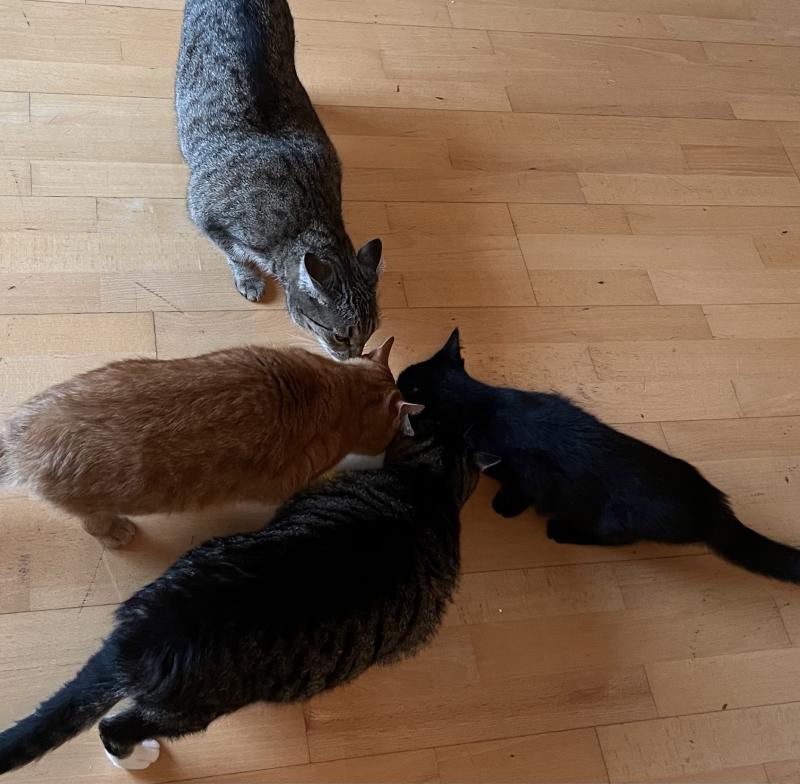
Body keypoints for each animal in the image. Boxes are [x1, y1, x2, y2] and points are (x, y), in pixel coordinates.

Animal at [0, 337, 422, 548]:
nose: (397, 441)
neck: (335, 388)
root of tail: (21, 435)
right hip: (97, 505)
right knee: (93, 524)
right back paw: (116, 533)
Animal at [0, 421, 485, 774]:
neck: (425, 482)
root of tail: (138, 639)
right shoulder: (417, 630)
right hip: (191, 711)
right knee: (116, 726)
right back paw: (141, 758)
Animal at [175, 0, 382, 360]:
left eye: (371, 332)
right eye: (341, 336)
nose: (355, 356)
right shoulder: (204, 213)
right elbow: (234, 254)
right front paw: (248, 278)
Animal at [398, 329, 800, 583]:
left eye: (404, 381)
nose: (395, 378)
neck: (478, 403)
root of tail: (716, 509)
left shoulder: (531, 468)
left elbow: (519, 485)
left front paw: (505, 504)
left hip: (614, 519)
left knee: (618, 539)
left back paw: (561, 530)